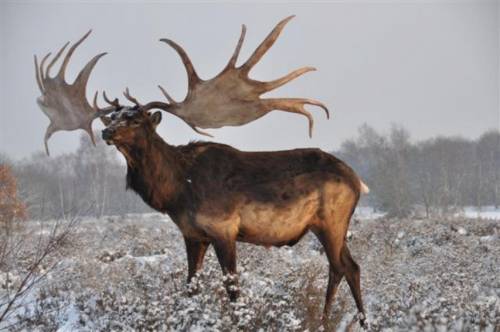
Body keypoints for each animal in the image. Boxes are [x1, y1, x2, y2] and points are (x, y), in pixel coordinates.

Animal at [32, 16, 368, 326]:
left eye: (136, 119)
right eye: (113, 116)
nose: (106, 132)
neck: (176, 190)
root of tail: (357, 181)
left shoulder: (224, 228)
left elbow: (233, 290)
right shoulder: (193, 234)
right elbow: (190, 288)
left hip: (332, 220)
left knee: (342, 266)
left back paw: (332, 321)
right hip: (325, 225)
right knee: (349, 267)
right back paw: (349, 321)